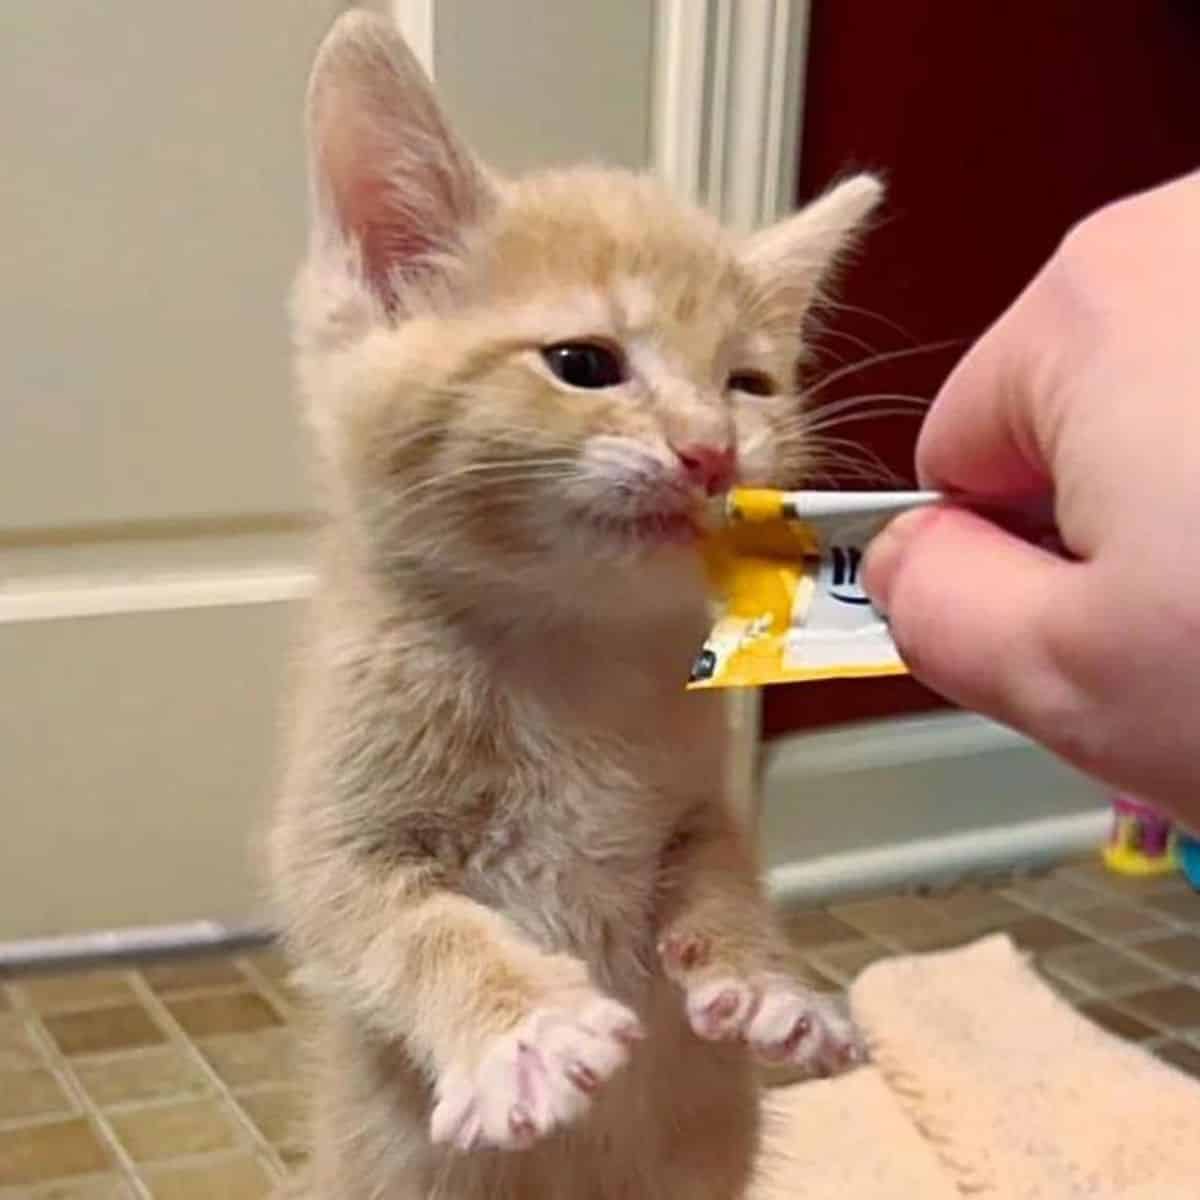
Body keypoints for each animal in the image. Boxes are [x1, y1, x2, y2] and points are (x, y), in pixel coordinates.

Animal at [274, 11, 883, 1200]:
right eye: (583, 364)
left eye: (748, 384)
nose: (710, 452)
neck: (569, 648)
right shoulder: (327, 830)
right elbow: (399, 919)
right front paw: (522, 1030)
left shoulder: (702, 795)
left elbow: (722, 869)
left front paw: (766, 978)